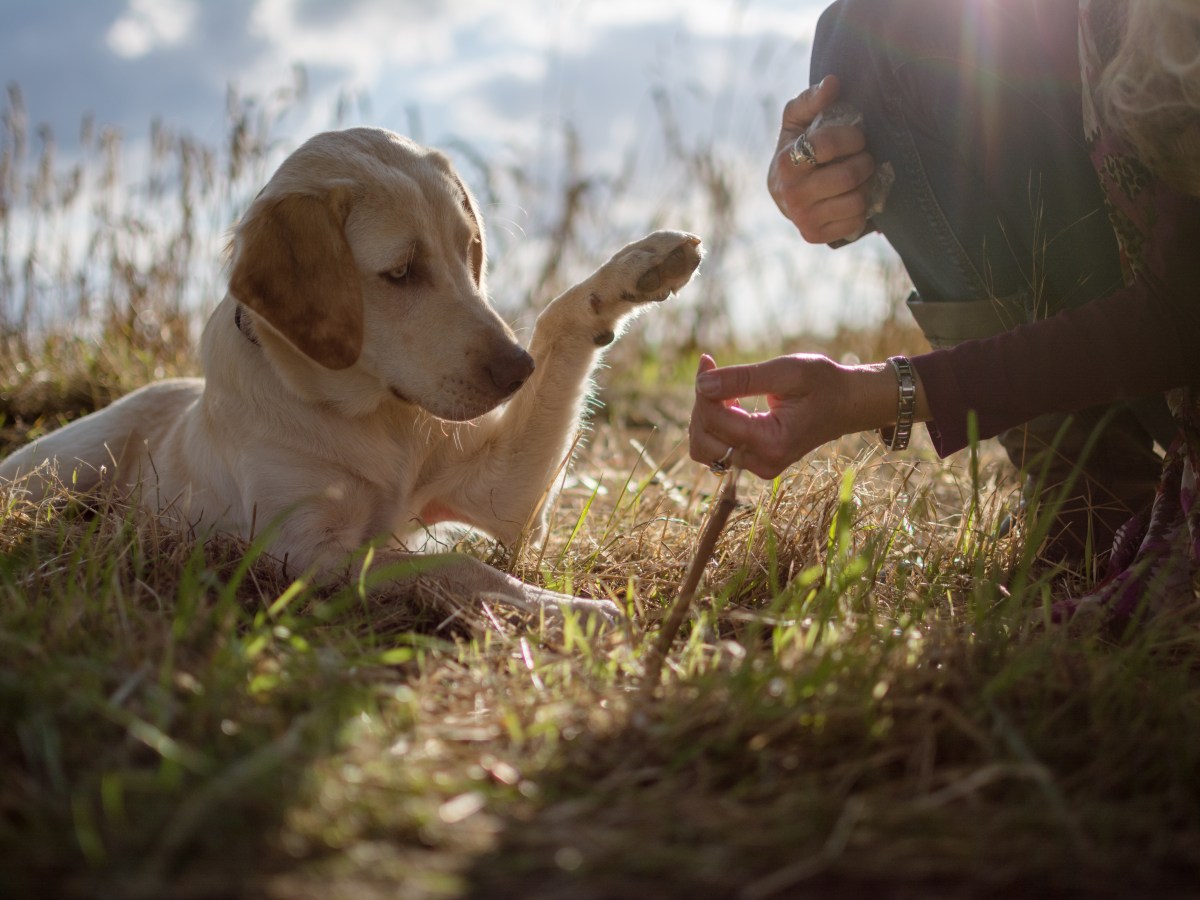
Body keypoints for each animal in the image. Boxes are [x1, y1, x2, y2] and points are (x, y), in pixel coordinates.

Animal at [0, 127, 700, 619]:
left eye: (469, 252)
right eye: (401, 272)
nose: (517, 372)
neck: (371, 417)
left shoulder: (506, 493)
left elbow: (559, 319)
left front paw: (636, 269)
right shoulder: (303, 551)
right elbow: (457, 567)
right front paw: (571, 607)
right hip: (60, 467)